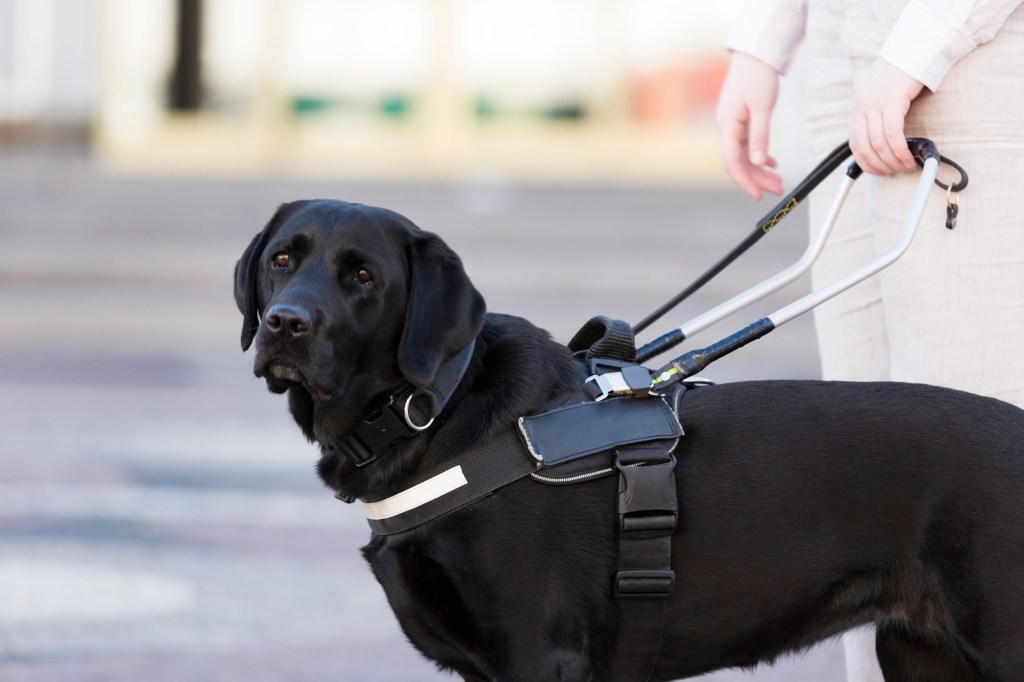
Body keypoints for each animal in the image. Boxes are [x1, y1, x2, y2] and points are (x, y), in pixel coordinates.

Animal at [235, 197, 1024, 679]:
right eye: (282, 259)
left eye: (364, 276)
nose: (284, 324)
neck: (432, 410)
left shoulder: (539, 652)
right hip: (923, 654)